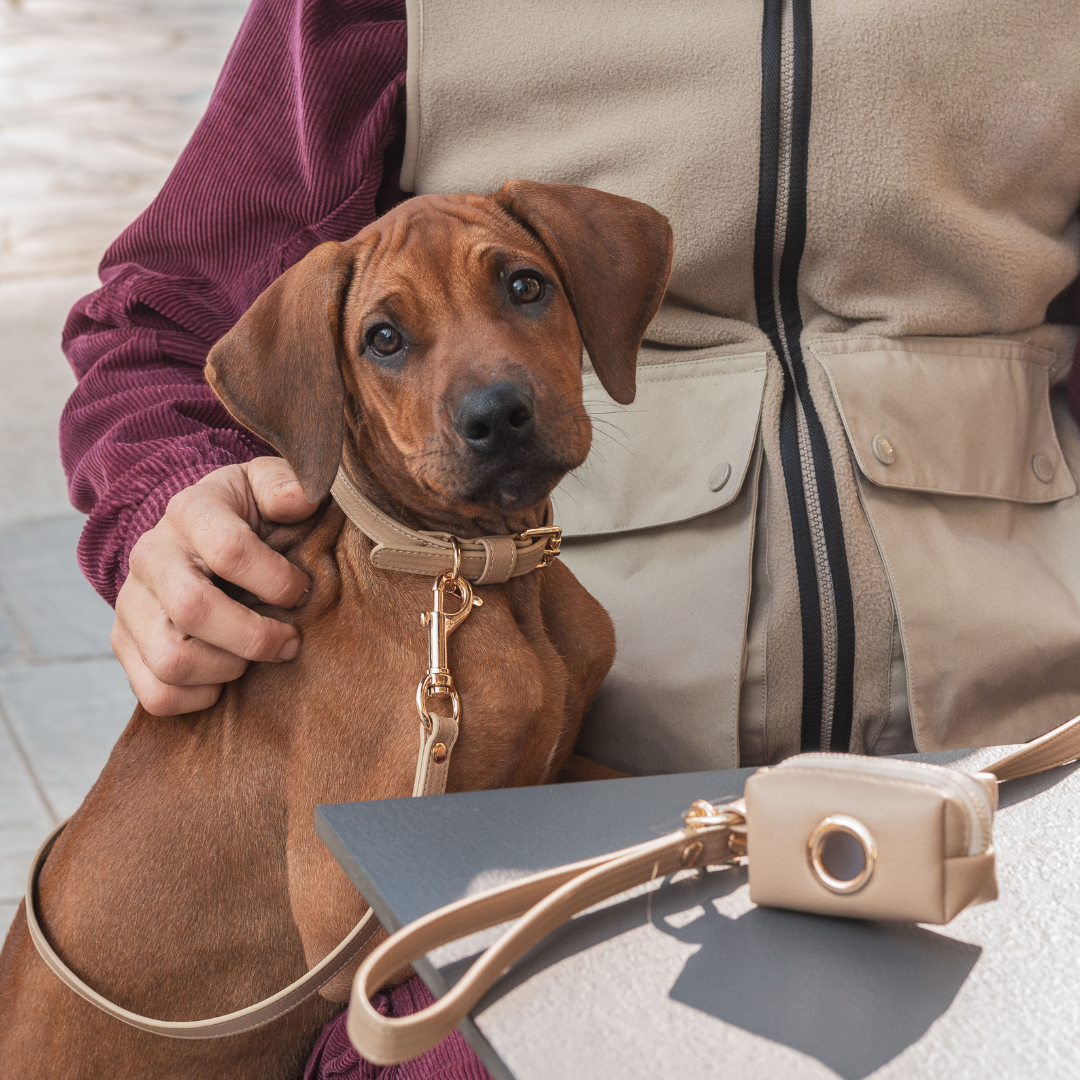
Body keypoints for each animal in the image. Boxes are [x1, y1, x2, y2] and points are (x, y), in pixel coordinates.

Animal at [0, 181, 669, 1075]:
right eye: (383, 339)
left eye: (526, 286)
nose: (498, 414)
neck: (474, 576)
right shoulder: (347, 902)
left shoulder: (557, 760)